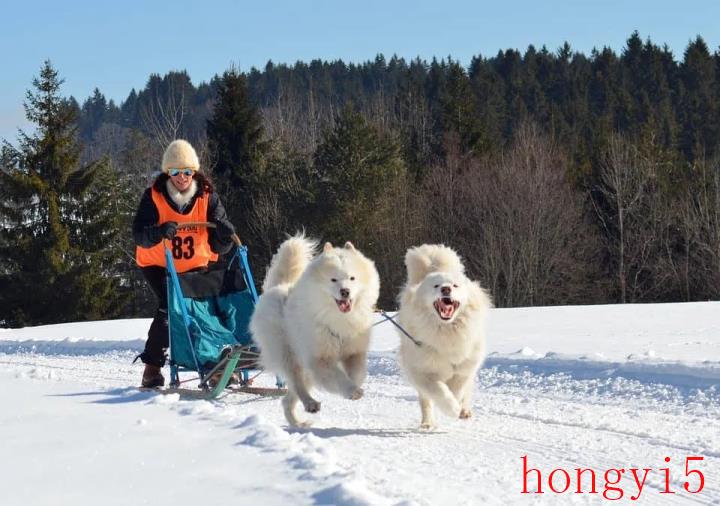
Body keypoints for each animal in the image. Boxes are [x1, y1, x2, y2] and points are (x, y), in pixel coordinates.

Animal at [249, 235, 380, 424]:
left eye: (352, 278)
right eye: (333, 280)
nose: (345, 291)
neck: (338, 318)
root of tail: (277, 287)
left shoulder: (354, 352)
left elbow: (357, 374)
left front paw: (353, 386)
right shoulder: (320, 358)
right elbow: (337, 376)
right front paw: (351, 391)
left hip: (304, 368)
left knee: (288, 398)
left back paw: (298, 421)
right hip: (287, 354)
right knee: (297, 383)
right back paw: (309, 403)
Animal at [396, 243, 492, 428]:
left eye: (455, 286)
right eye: (435, 286)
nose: (445, 288)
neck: (447, 331)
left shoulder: (465, 367)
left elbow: (458, 389)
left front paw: (458, 407)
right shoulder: (423, 371)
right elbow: (440, 391)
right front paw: (451, 409)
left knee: (466, 392)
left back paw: (465, 411)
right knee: (426, 401)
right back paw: (427, 423)